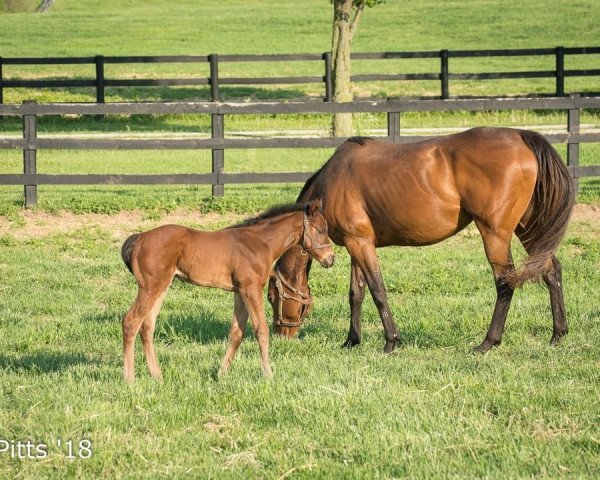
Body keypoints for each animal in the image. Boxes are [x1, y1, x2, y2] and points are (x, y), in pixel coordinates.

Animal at [120, 199, 338, 382]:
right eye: (320, 230)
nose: (330, 259)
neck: (260, 243)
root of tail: (139, 237)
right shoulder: (251, 289)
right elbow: (261, 330)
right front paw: (268, 374)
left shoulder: (240, 292)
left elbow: (236, 333)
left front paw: (221, 373)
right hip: (150, 287)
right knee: (131, 322)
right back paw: (129, 380)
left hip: (162, 287)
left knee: (147, 326)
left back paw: (157, 376)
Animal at [268, 127, 576, 352]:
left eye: (271, 297)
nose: (281, 336)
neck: (331, 183)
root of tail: (521, 136)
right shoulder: (358, 244)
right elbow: (357, 294)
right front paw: (352, 341)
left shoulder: (360, 243)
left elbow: (378, 291)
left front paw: (391, 341)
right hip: (528, 228)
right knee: (551, 271)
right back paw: (558, 335)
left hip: (495, 233)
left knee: (505, 282)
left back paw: (488, 343)